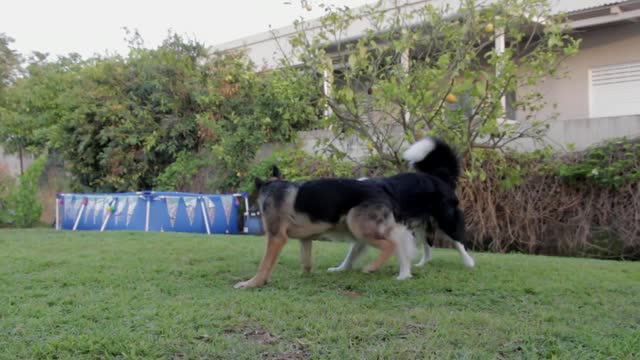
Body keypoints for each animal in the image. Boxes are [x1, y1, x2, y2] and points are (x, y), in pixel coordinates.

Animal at [235, 138, 476, 290]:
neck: (272, 187)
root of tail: (383, 188)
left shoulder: (276, 237)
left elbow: (265, 264)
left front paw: (252, 283)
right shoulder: (306, 239)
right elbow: (306, 262)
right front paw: (305, 275)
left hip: (359, 223)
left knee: (394, 244)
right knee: (415, 245)